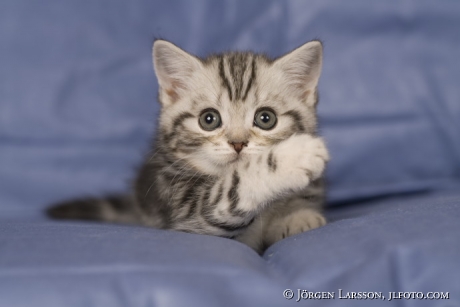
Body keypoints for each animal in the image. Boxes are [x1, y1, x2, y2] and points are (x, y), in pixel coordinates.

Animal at [47, 39, 330, 254]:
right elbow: (232, 190)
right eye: (209, 119)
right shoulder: (188, 214)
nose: (238, 143)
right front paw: (293, 157)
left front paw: (298, 216)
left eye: (265, 118)